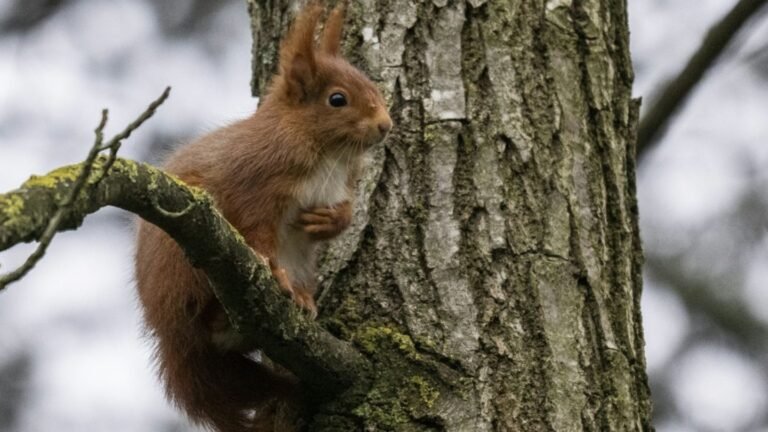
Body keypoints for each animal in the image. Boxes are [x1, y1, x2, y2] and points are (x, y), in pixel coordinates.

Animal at [133, 2, 392, 431]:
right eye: (337, 99)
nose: (386, 126)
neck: (328, 153)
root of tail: (170, 337)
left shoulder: (342, 185)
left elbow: (343, 213)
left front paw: (330, 221)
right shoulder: (256, 185)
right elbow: (257, 232)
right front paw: (275, 273)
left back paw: (303, 299)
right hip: (185, 264)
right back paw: (223, 313)